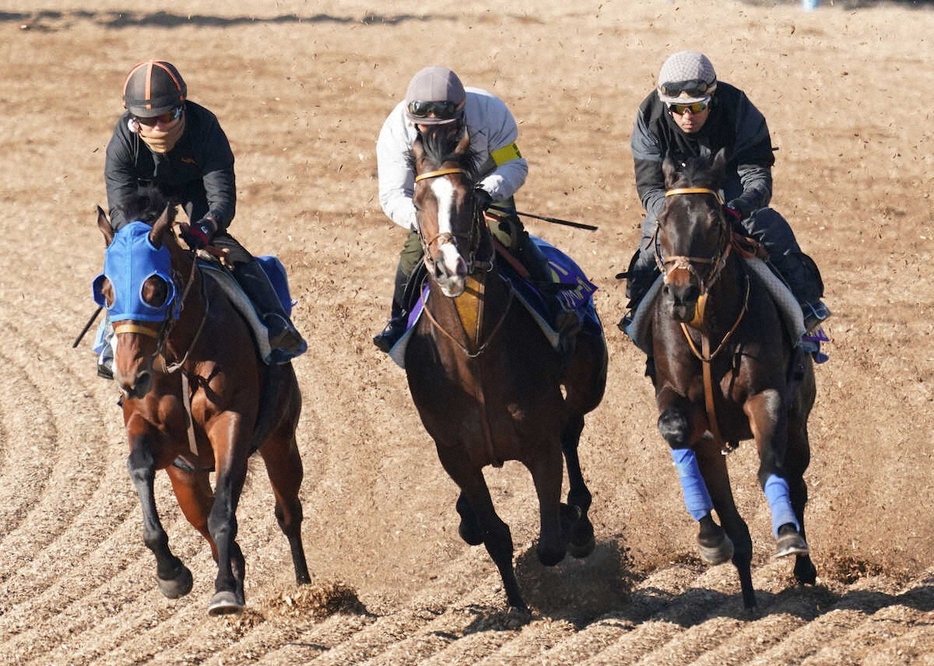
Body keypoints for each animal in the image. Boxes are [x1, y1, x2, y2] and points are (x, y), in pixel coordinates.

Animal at [96, 189, 314, 616]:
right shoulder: (149, 430)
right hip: (187, 479)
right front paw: (172, 574)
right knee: (208, 526)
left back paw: (306, 589)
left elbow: (224, 513)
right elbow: (139, 468)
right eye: (107, 291)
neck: (180, 356)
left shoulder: (231, 422)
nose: (131, 377)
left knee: (287, 513)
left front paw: (224, 592)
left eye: (155, 290)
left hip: (281, 439)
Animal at [400, 127, 608, 608]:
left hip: (590, 380)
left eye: (467, 197)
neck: (474, 357)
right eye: (417, 199)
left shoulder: (541, 444)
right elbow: (494, 534)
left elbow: (550, 545)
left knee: (573, 426)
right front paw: (516, 605)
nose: (451, 268)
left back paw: (579, 516)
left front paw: (570, 523)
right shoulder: (454, 454)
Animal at [648, 148, 816, 608]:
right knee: (729, 510)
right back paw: (745, 586)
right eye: (662, 219)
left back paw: (801, 566)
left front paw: (788, 536)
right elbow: (675, 433)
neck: (709, 327)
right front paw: (710, 539)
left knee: (797, 481)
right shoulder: (677, 400)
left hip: (799, 421)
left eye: (715, 222)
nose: (682, 294)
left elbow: (770, 466)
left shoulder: (767, 395)